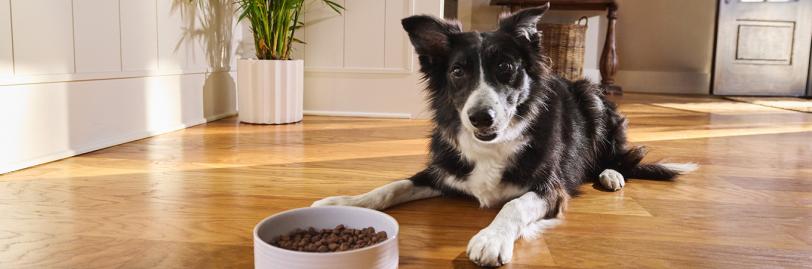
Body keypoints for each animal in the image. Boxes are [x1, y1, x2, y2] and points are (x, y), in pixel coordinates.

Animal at [314, 4, 696, 266]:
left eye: (506, 68)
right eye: (457, 71)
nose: (481, 118)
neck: (493, 146)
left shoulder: (549, 189)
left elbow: (513, 205)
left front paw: (490, 240)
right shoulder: (442, 170)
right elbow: (391, 186)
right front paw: (344, 202)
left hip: (593, 98)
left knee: (617, 156)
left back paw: (611, 174)